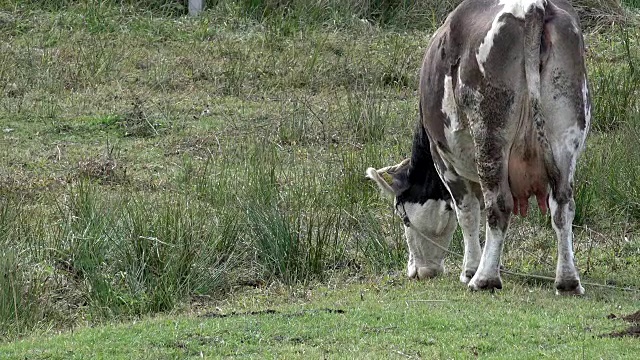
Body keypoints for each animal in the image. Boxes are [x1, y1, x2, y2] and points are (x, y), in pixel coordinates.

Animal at [364, 0, 592, 296]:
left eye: (403, 217)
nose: (418, 271)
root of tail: (533, 7)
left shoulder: (445, 162)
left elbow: (468, 213)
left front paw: (471, 269)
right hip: (566, 134)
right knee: (562, 205)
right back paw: (567, 280)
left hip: (489, 133)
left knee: (499, 205)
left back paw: (484, 278)